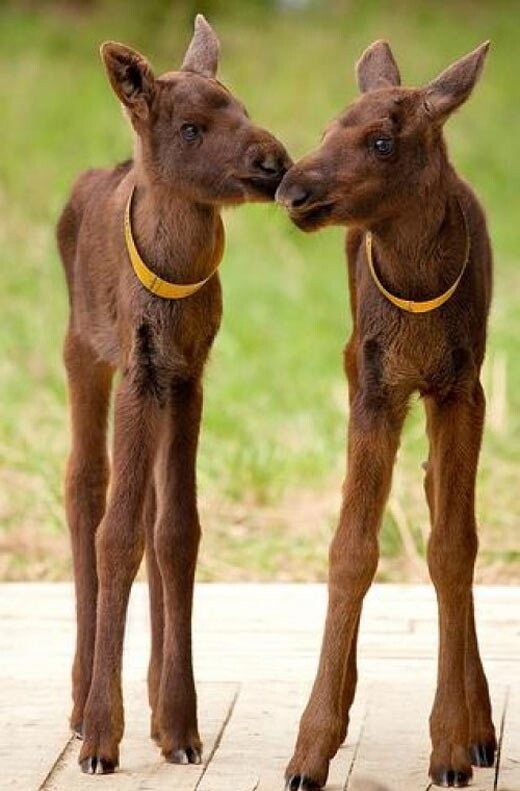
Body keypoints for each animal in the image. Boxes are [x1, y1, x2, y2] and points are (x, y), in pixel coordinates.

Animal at [60, 15, 292, 776]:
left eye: (242, 107)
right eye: (191, 128)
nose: (275, 161)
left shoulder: (188, 376)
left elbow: (177, 531)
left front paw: (184, 724)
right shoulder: (137, 371)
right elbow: (117, 533)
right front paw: (102, 738)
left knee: (154, 512)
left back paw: (159, 716)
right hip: (81, 353)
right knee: (84, 487)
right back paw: (80, 704)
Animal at [278, 38, 494, 791]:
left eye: (381, 140)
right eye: (327, 127)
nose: (292, 188)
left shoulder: (462, 389)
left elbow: (453, 548)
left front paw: (451, 742)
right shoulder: (373, 387)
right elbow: (350, 550)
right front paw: (311, 745)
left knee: (437, 499)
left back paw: (482, 726)